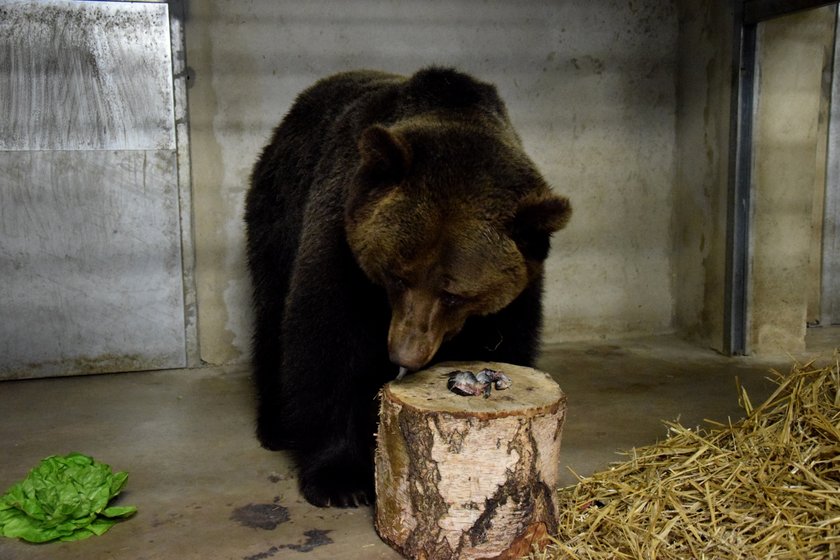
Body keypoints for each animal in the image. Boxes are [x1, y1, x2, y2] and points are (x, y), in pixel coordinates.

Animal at [244, 66, 572, 508]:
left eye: (454, 294)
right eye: (397, 274)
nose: (405, 353)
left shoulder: (517, 291)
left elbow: (506, 342)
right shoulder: (340, 237)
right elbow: (329, 341)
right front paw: (340, 479)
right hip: (280, 205)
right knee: (271, 306)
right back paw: (276, 426)